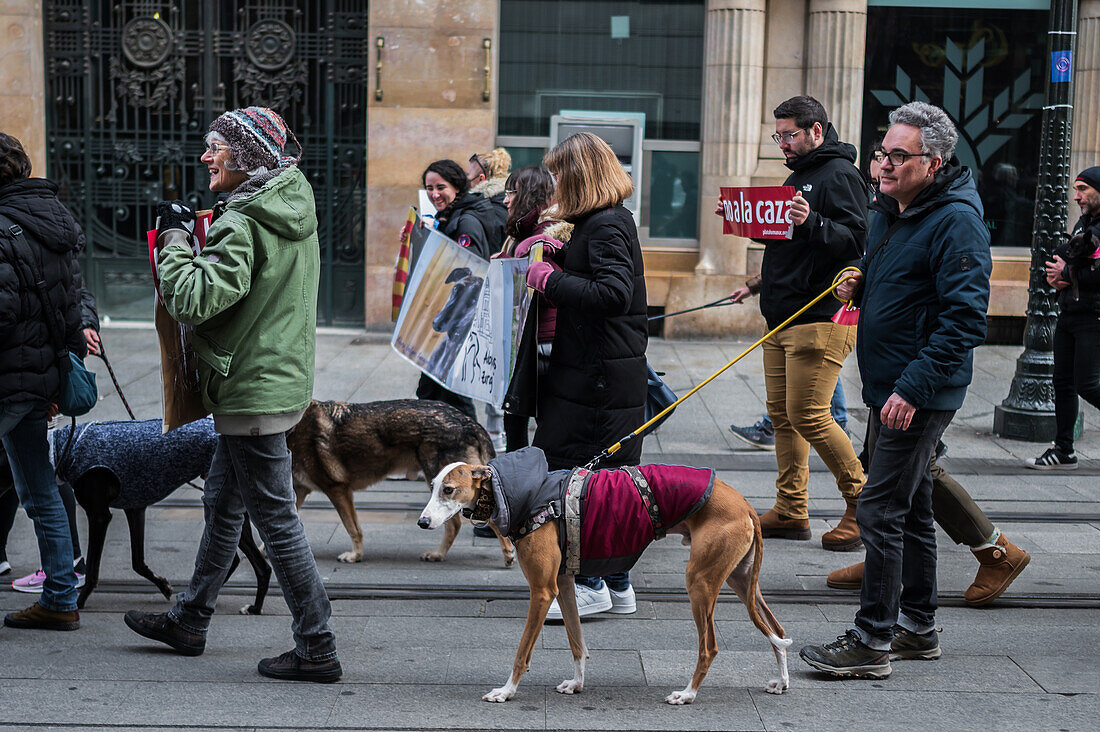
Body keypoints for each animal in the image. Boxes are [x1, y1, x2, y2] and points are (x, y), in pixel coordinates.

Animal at [286, 400, 512, 563]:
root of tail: (469, 422)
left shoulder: (338, 490)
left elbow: (353, 528)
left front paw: (355, 556)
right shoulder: (298, 491)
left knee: (467, 522)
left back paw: (507, 553)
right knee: (454, 525)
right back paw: (438, 555)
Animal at [418, 451, 792, 704]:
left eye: (449, 490)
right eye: (433, 486)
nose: (422, 522)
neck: (524, 493)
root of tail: (745, 504)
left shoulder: (541, 590)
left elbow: (522, 652)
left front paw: (506, 691)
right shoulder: (562, 584)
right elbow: (577, 642)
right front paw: (576, 684)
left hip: (700, 582)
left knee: (710, 647)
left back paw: (687, 694)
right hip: (741, 581)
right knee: (776, 629)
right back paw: (781, 681)